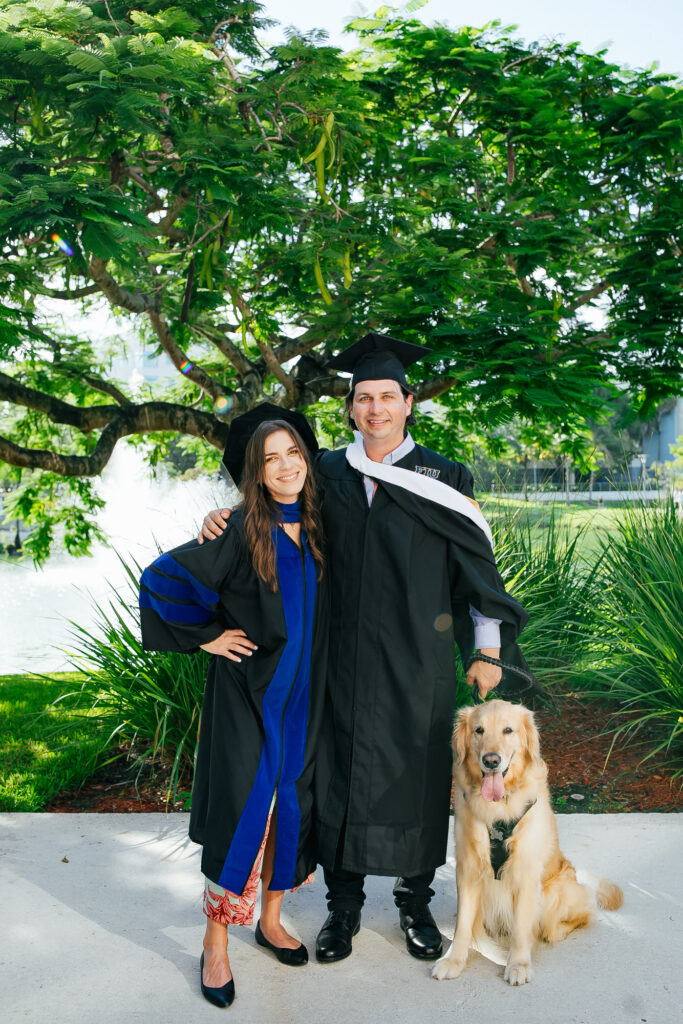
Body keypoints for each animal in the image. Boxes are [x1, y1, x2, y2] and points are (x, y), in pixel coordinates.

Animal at [436, 700, 622, 987]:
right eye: (479, 730)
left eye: (508, 730)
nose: (491, 761)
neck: (498, 807)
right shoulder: (468, 869)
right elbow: (464, 924)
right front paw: (454, 961)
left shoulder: (525, 871)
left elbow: (522, 927)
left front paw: (519, 964)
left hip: (556, 891)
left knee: (580, 916)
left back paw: (556, 931)